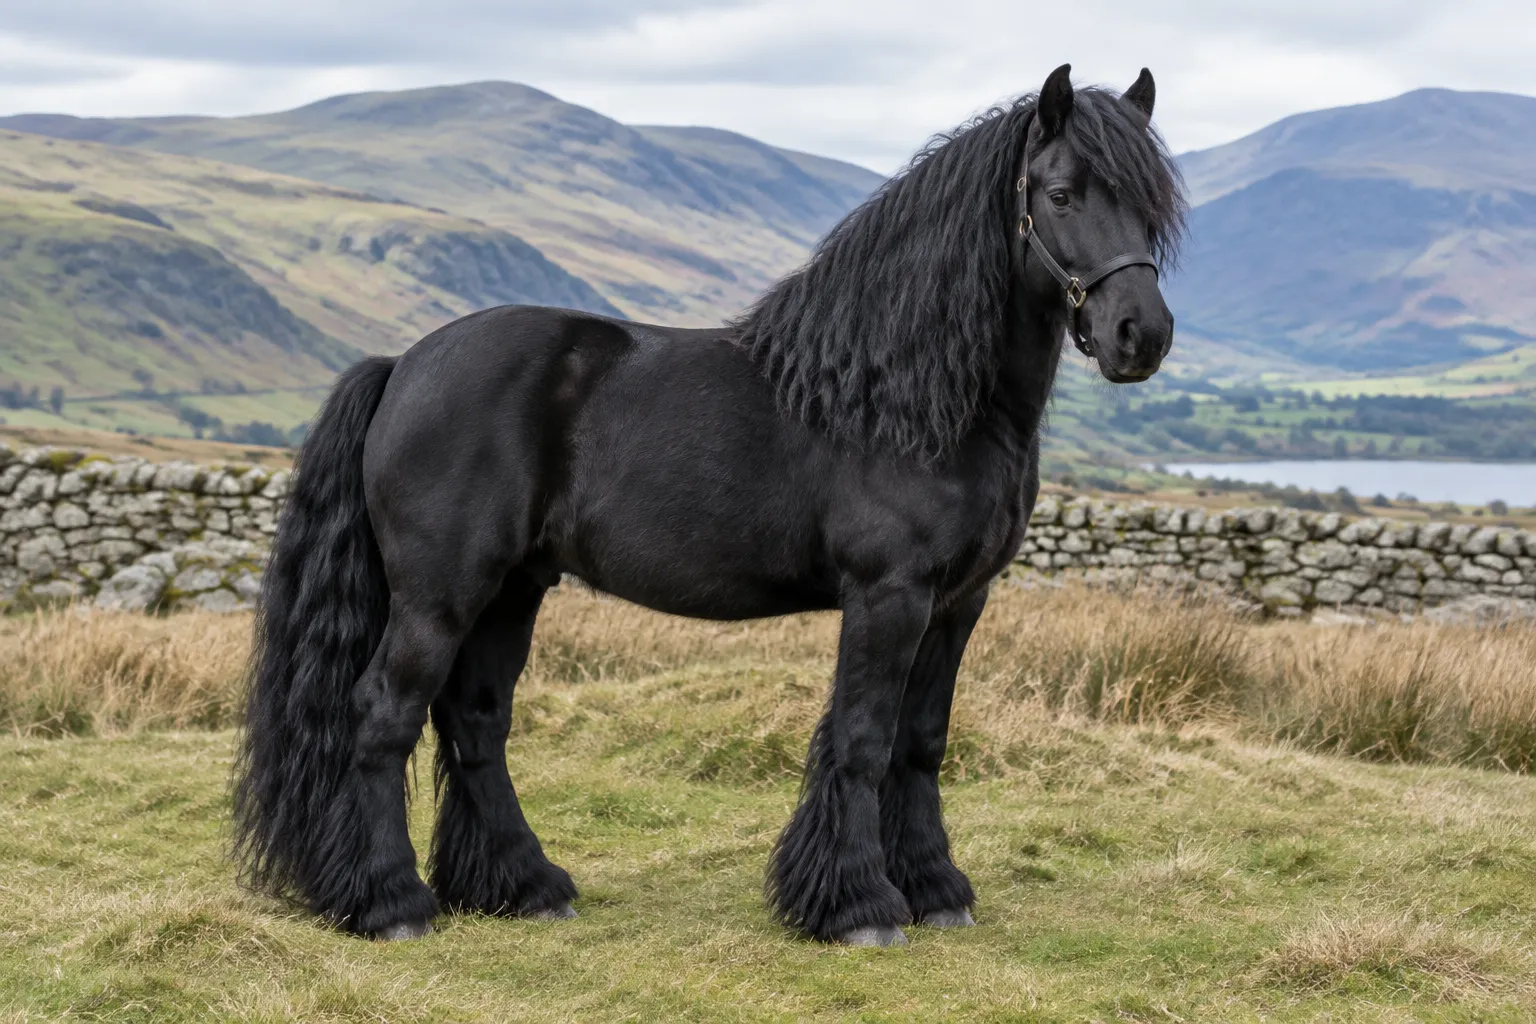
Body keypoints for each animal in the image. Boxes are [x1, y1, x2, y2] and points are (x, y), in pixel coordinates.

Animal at [232, 63, 1187, 947]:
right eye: (1060, 194)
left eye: (1152, 207)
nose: (1140, 336)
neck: (903, 398)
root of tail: (402, 365)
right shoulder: (889, 594)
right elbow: (864, 739)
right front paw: (858, 906)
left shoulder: (958, 602)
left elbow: (921, 740)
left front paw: (934, 889)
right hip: (440, 595)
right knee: (382, 717)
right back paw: (390, 903)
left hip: (511, 589)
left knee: (475, 722)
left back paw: (523, 886)